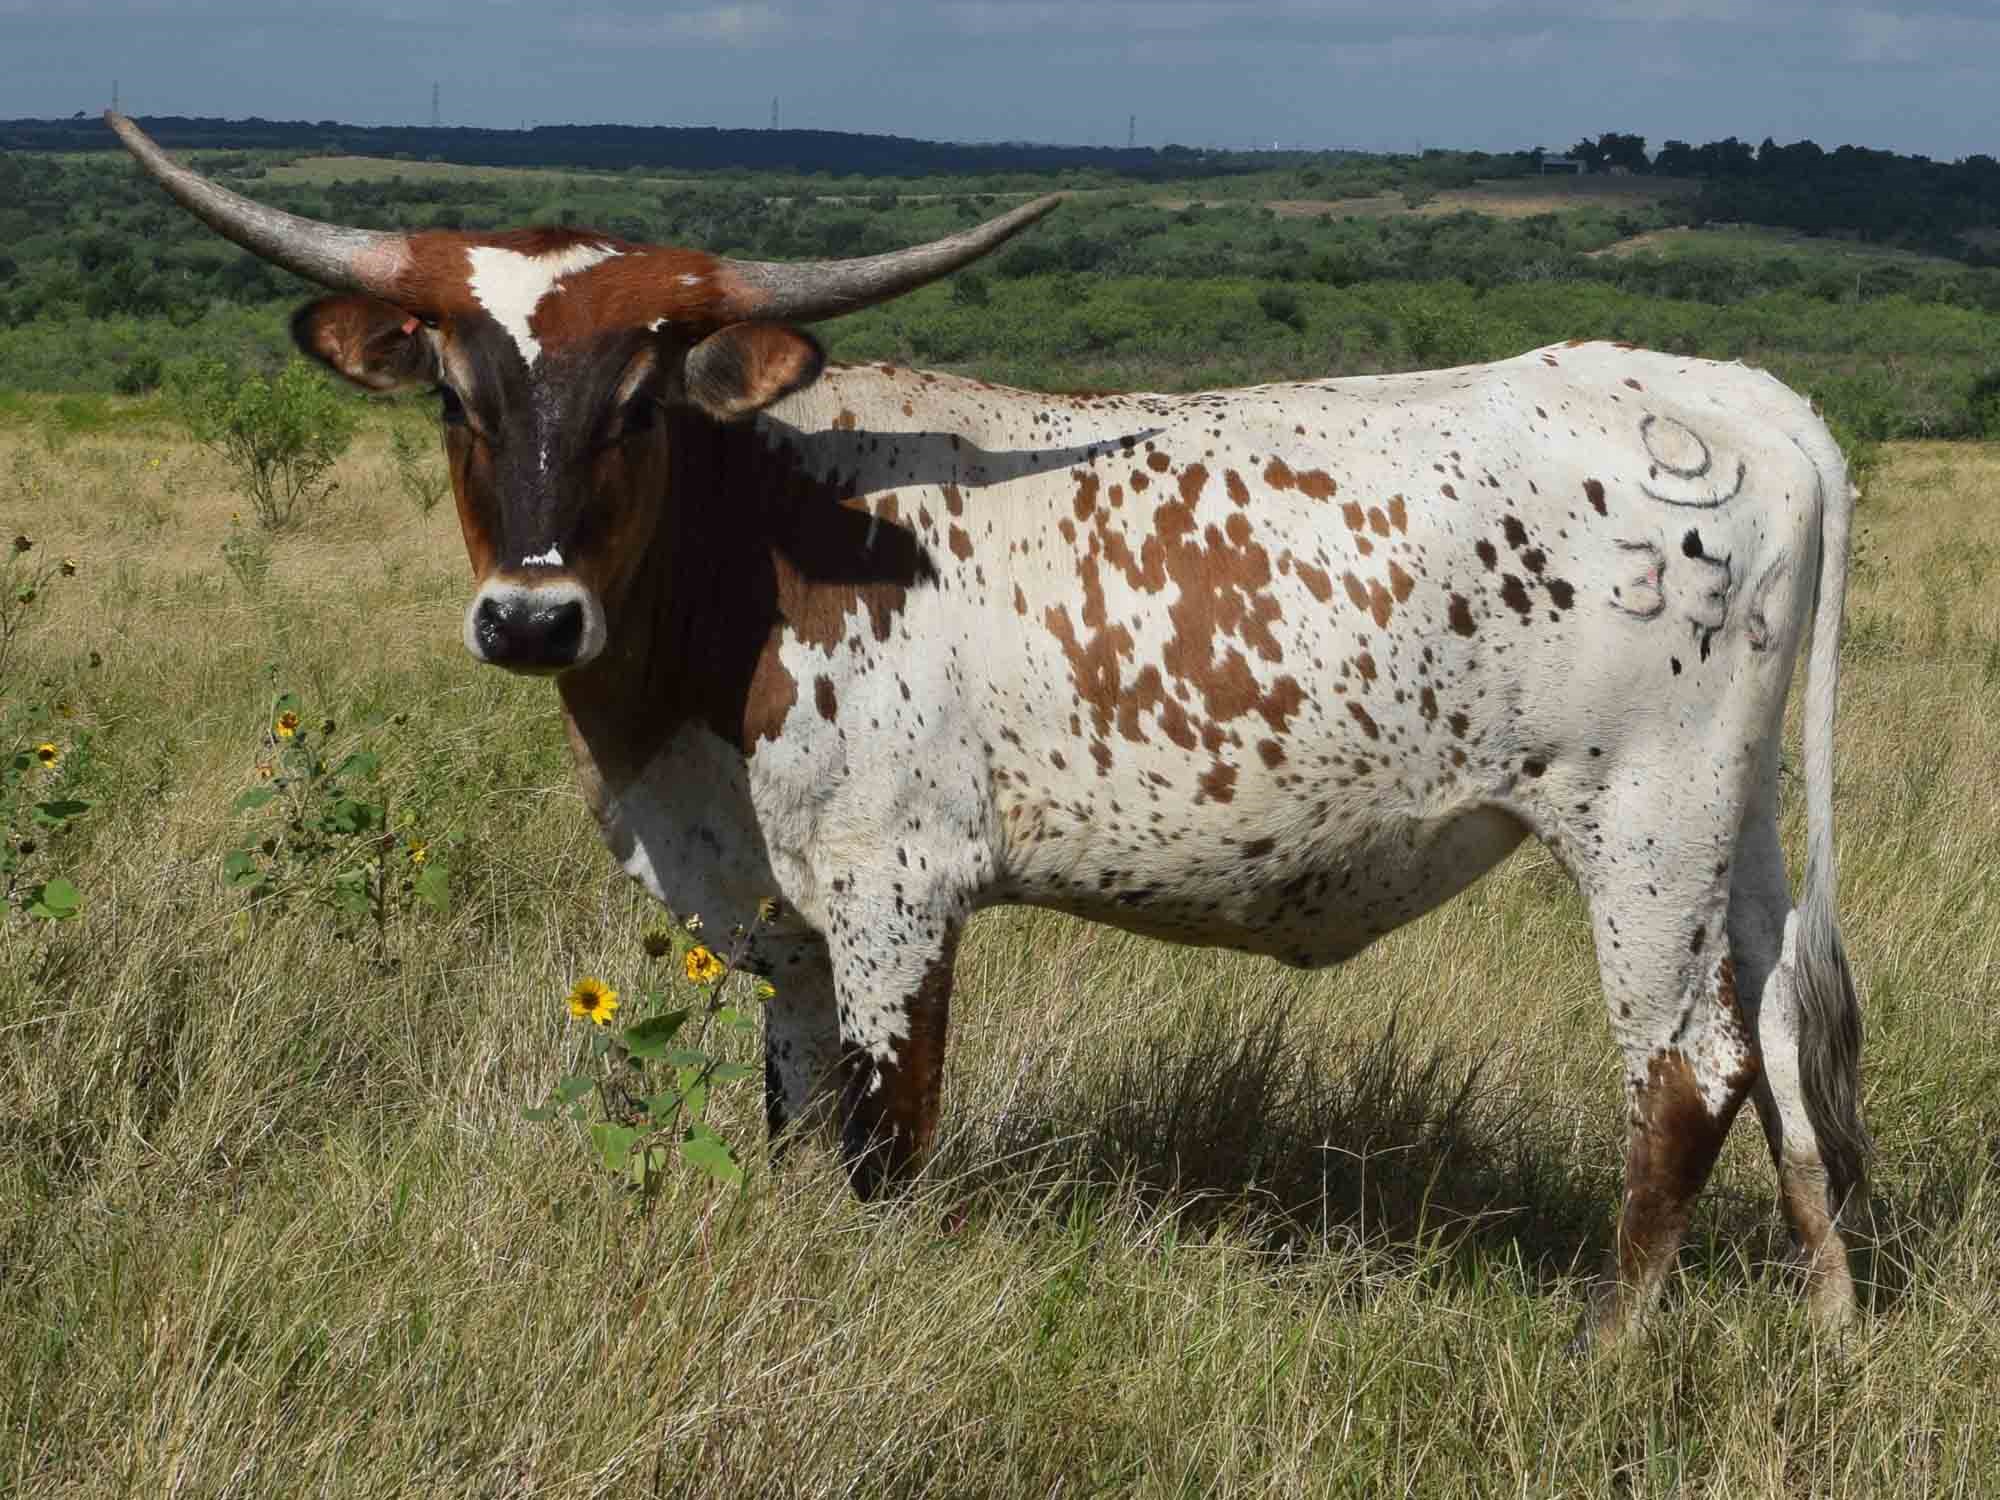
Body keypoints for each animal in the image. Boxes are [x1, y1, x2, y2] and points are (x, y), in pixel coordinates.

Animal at [110, 112, 1868, 1344]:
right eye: (456, 398)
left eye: (638, 402)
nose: (530, 619)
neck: (753, 545)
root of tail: (1742, 400)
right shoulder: (787, 929)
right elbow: (792, 1134)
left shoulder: (899, 895)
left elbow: (883, 1148)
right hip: (1735, 826)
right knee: (1792, 1042)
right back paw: (1836, 1324)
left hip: (1642, 827)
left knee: (1689, 1071)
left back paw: (1610, 1348)